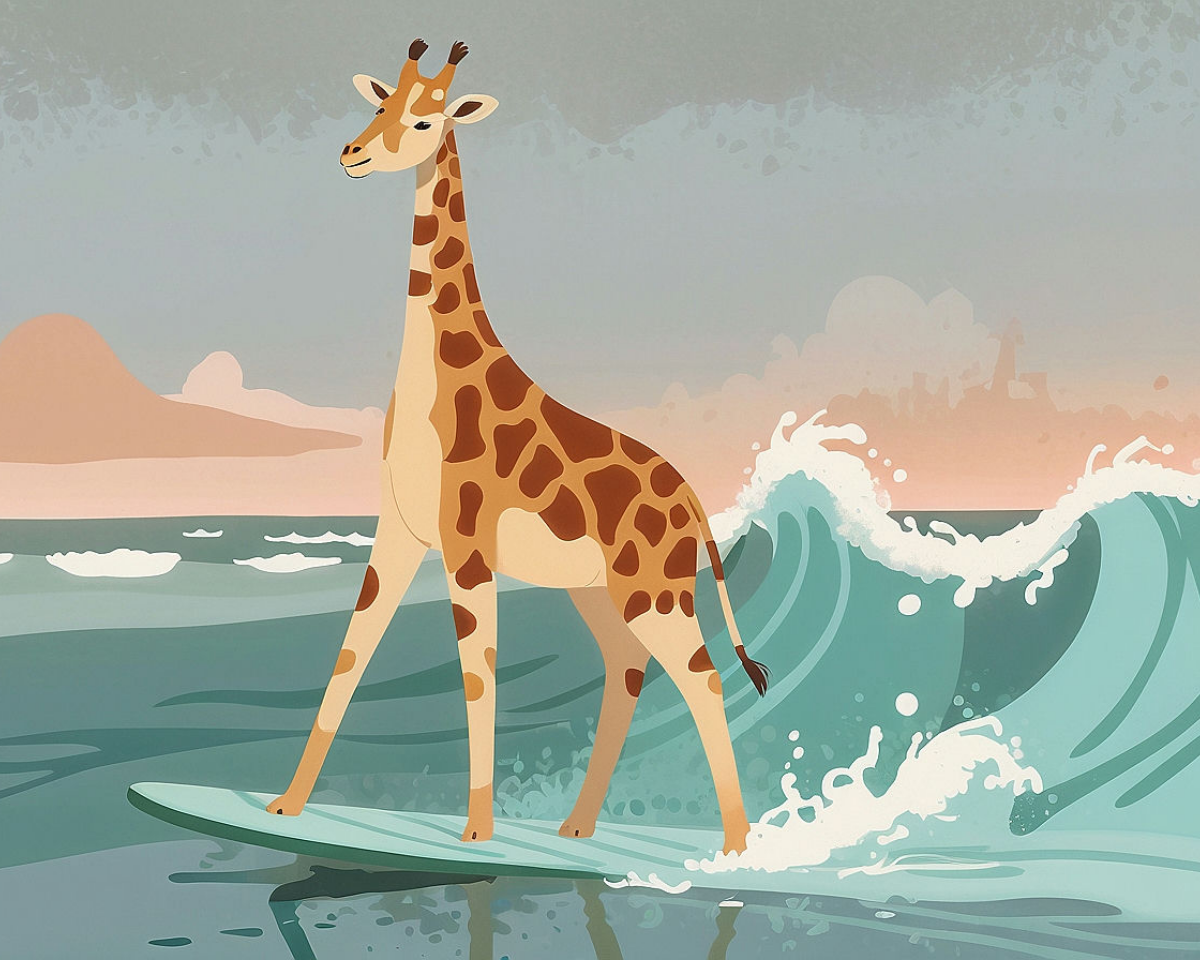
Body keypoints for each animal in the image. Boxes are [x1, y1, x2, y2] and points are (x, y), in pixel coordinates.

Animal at [266, 39, 769, 854]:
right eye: (380, 103)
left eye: (427, 118)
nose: (352, 154)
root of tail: (695, 500)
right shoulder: (398, 533)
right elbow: (349, 654)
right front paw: (286, 805)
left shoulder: (466, 542)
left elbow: (478, 677)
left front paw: (477, 831)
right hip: (599, 591)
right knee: (628, 670)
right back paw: (579, 826)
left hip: (656, 591)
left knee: (703, 676)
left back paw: (733, 845)